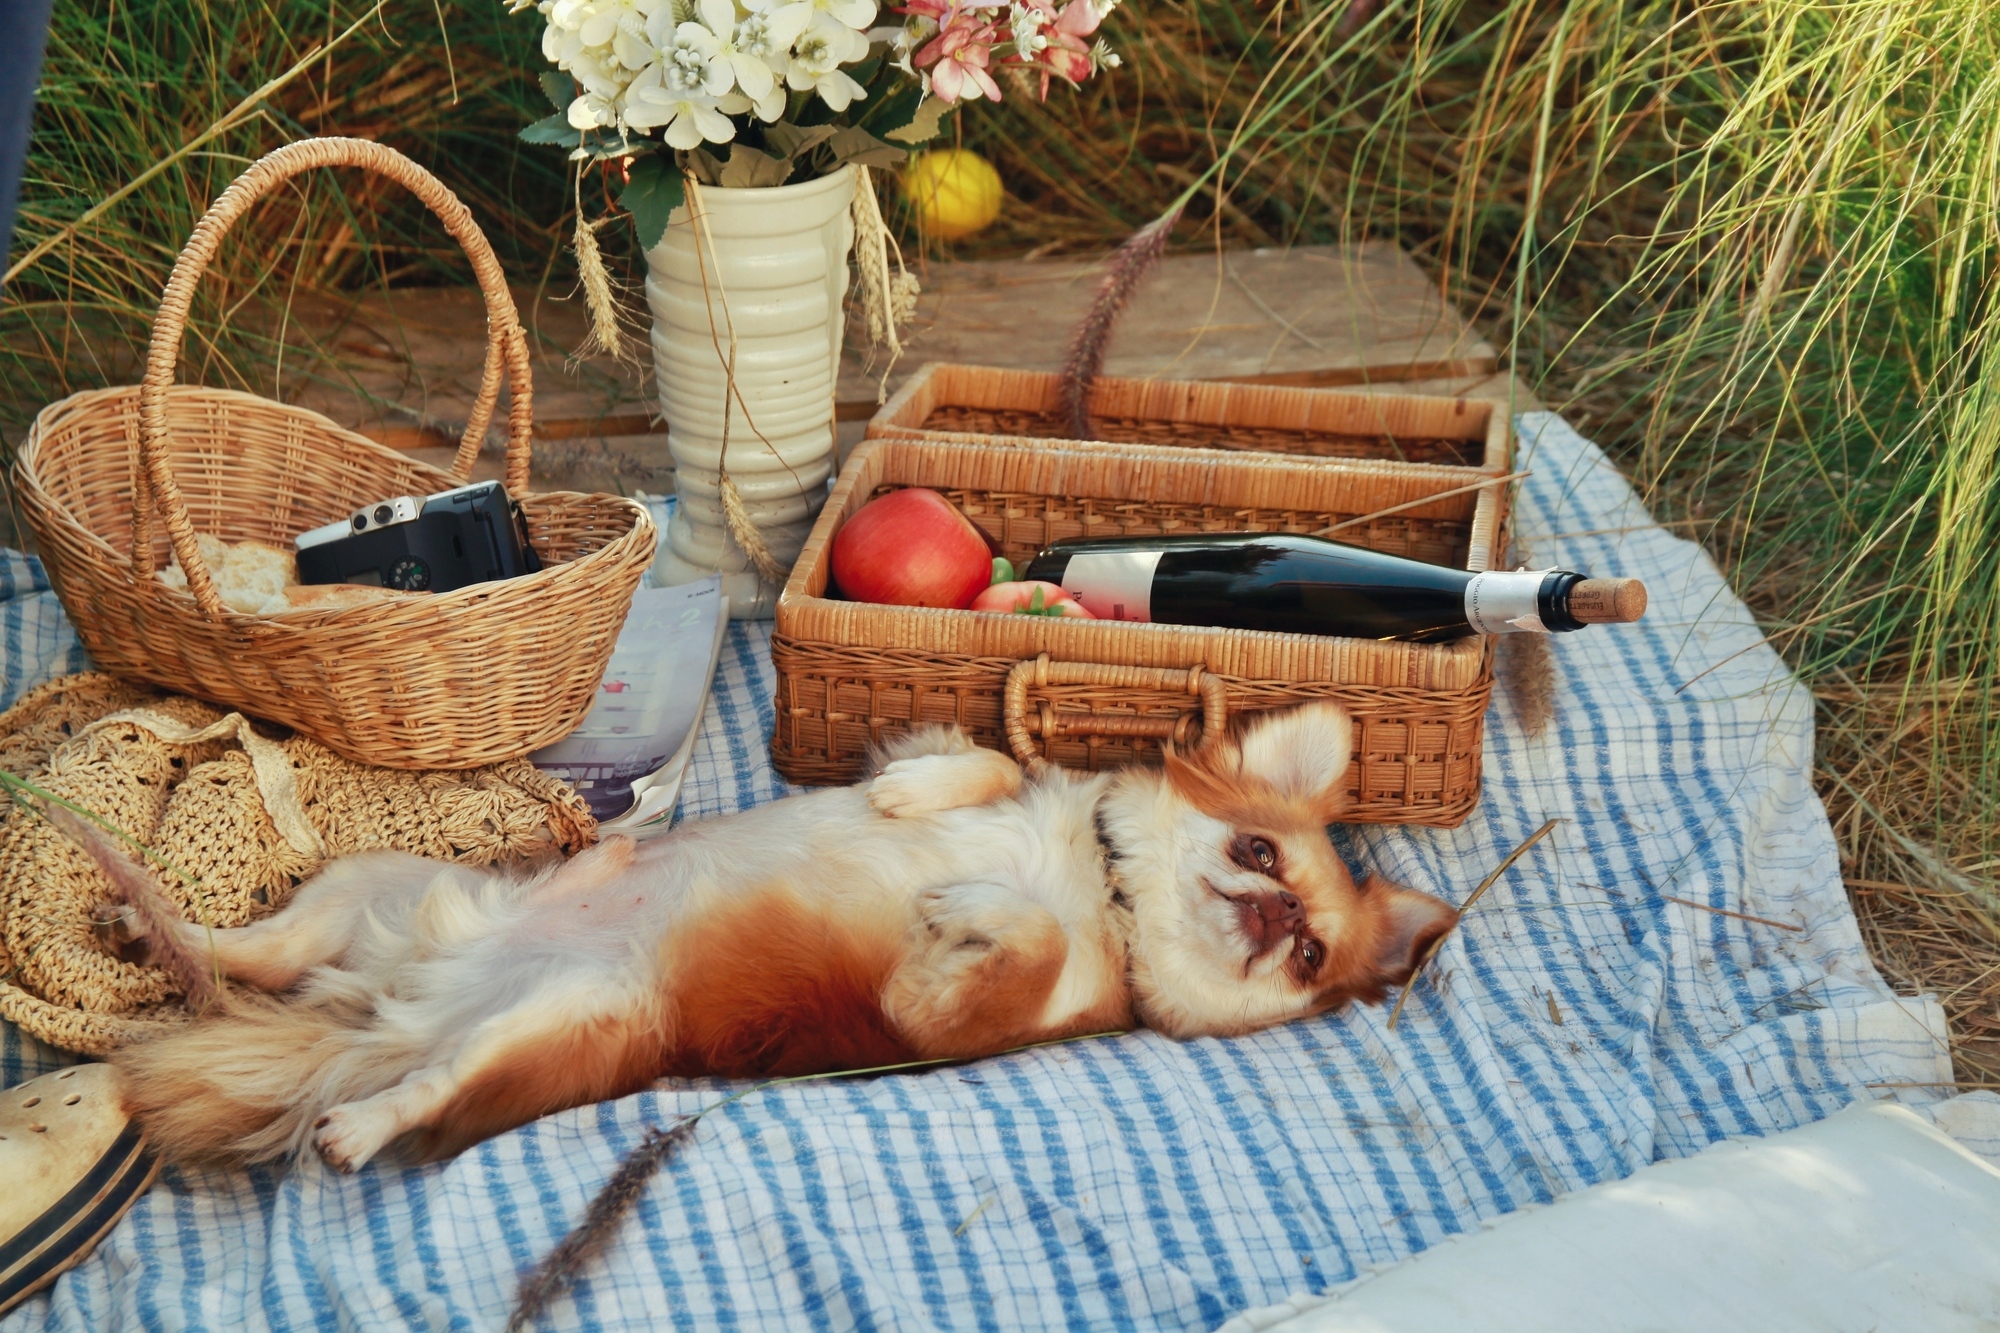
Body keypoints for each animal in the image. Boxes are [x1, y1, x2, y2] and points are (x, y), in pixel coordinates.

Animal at [62, 700, 1464, 1168]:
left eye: (1307, 958)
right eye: (1260, 852)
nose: (1278, 913)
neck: (1104, 894)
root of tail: (404, 1001)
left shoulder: (939, 1021)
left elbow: (1010, 952)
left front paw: (976, 910)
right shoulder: (934, 746)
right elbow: (984, 760)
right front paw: (919, 806)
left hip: (556, 1015)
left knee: (422, 1089)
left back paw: (359, 1119)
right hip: (367, 887)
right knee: (249, 953)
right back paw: (143, 917)